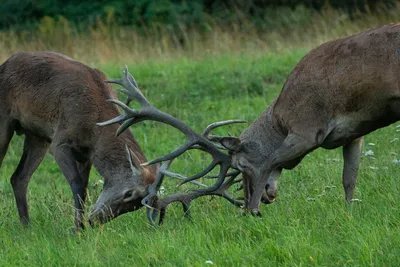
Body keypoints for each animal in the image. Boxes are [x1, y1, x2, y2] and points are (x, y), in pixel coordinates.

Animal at [0, 51, 159, 231]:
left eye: (136, 205)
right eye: (129, 193)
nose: (96, 220)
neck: (94, 127)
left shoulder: (86, 153)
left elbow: (84, 184)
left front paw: (80, 226)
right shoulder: (60, 142)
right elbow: (77, 184)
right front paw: (78, 229)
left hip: (37, 136)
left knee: (19, 177)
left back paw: (27, 226)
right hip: (5, 122)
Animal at [101, 23, 400, 224]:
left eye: (241, 165)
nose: (266, 196)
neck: (280, 119)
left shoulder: (307, 127)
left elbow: (271, 160)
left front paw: (252, 209)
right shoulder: (353, 133)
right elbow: (349, 177)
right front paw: (349, 212)